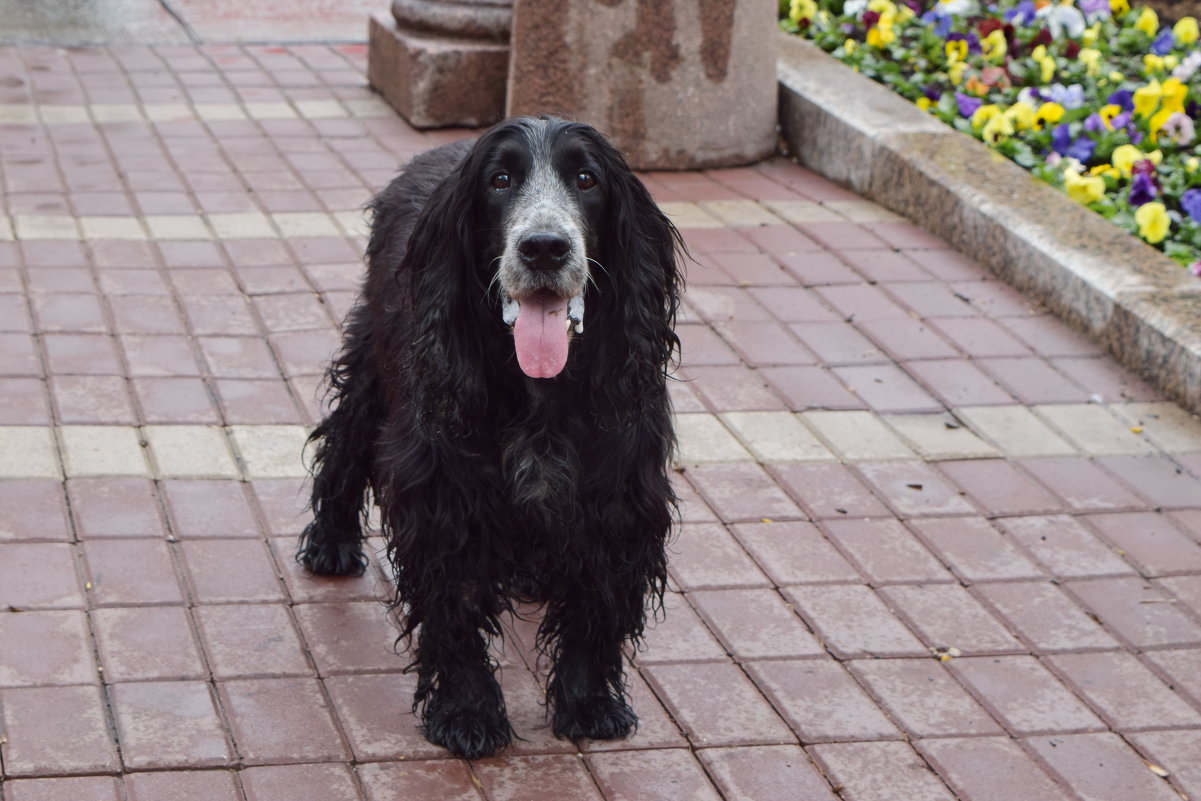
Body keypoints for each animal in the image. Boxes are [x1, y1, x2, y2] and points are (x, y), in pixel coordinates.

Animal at [300, 115, 686, 763]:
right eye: (500, 180)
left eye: (587, 178)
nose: (544, 247)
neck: (539, 389)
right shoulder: (443, 495)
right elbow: (453, 608)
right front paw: (467, 713)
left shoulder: (620, 498)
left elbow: (598, 605)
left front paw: (590, 704)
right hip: (375, 357)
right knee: (346, 438)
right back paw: (331, 542)